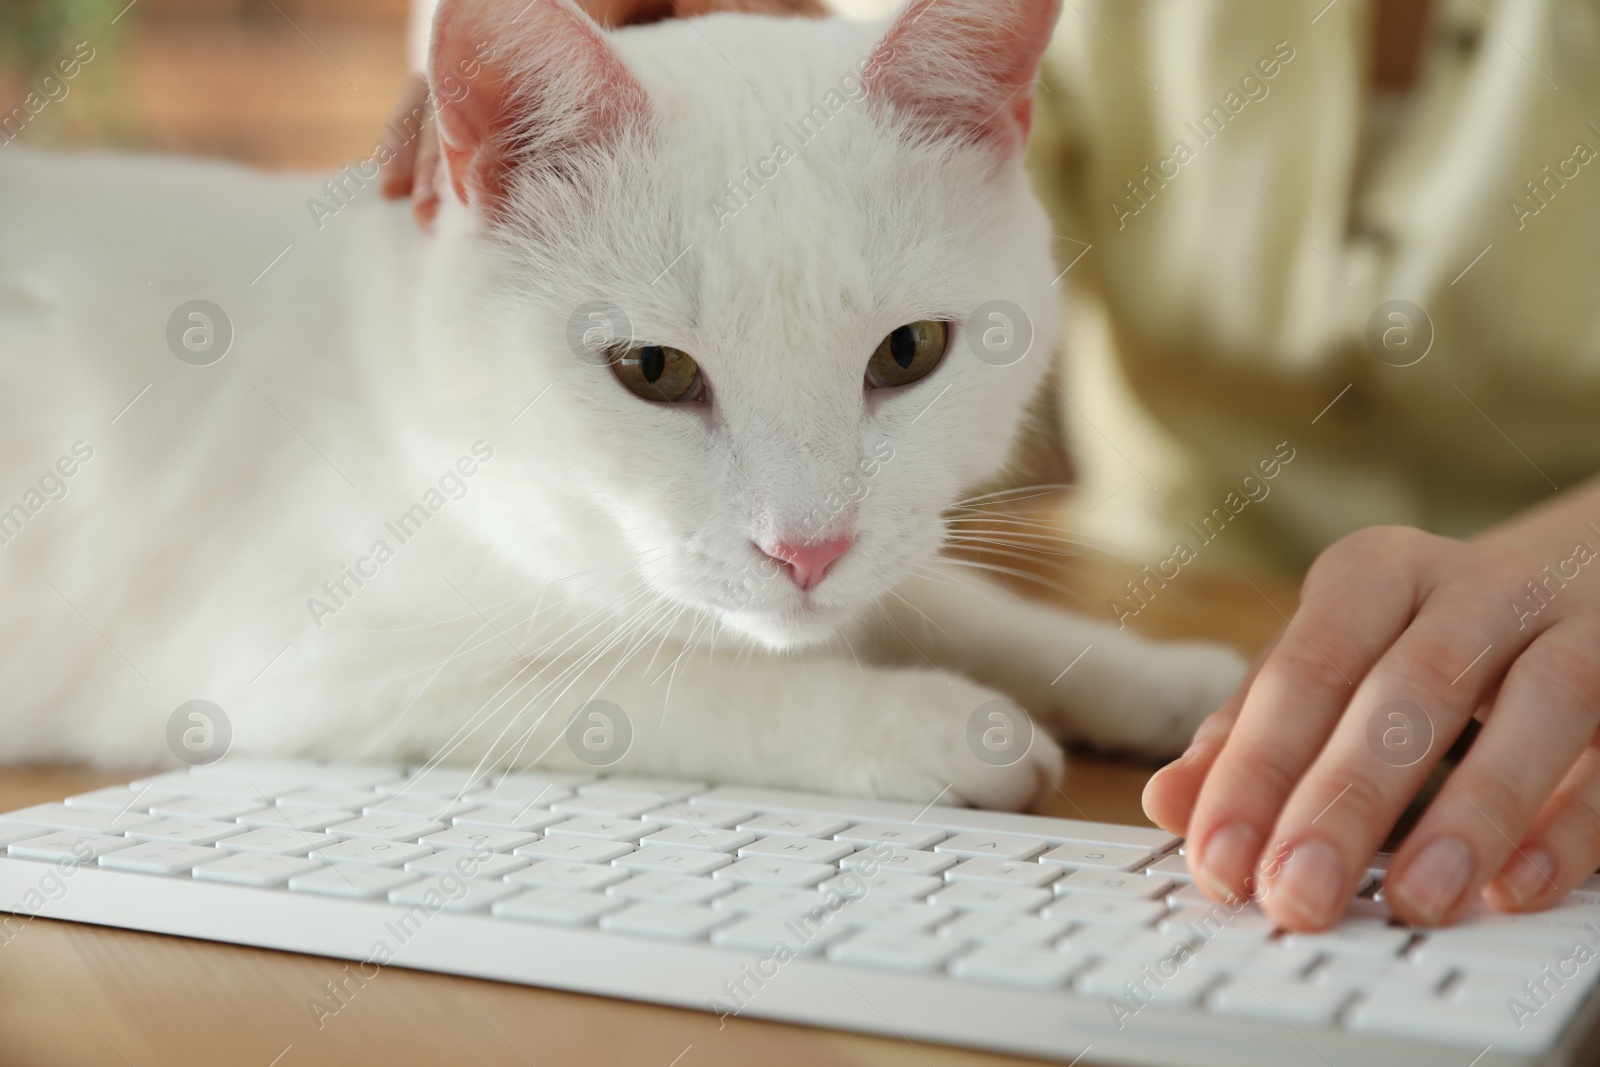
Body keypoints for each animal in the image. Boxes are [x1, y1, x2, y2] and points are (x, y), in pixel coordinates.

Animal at [0, 0, 1241, 809]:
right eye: (652, 369)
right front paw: (939, 720)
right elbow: (691, 681)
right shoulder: (325, 671)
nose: (806, 549)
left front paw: (1174, 682)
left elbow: (958, 600)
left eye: (909, 352)